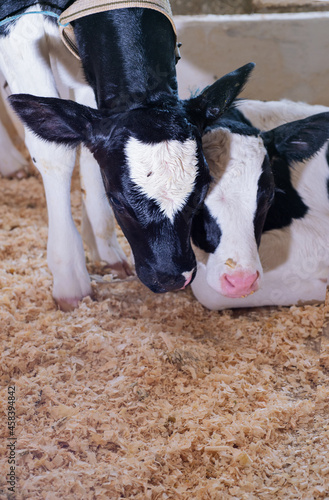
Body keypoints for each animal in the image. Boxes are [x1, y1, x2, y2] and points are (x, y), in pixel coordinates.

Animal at [0, 2, 254, 308]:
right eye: (118, 202)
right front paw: (70, 280)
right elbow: (54, 151)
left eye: (201, 193)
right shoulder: (16, 26)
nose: (173, 277)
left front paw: (105, 248)